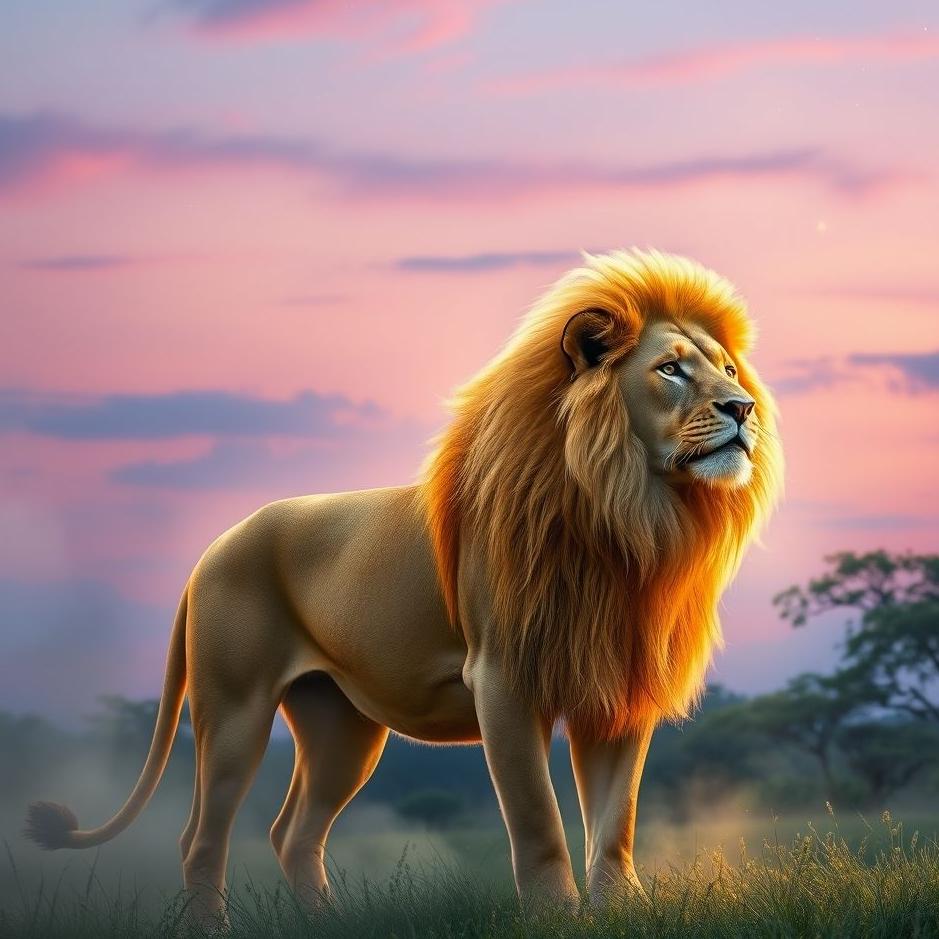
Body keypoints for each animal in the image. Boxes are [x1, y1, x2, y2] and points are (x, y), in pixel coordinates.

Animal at [25, 249, 782, 925]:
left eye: (727, 369)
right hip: (233, 708)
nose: (743, 407)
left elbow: (614, 821)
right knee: (201, 838)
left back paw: (326, 923)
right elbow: (537, 820)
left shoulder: (615, 686)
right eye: (670, 369)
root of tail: (213, 547)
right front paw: (557, 916)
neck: (628, 514)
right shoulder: (503, 680)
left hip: (342, 729)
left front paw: (621, 909)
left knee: (291, 833)